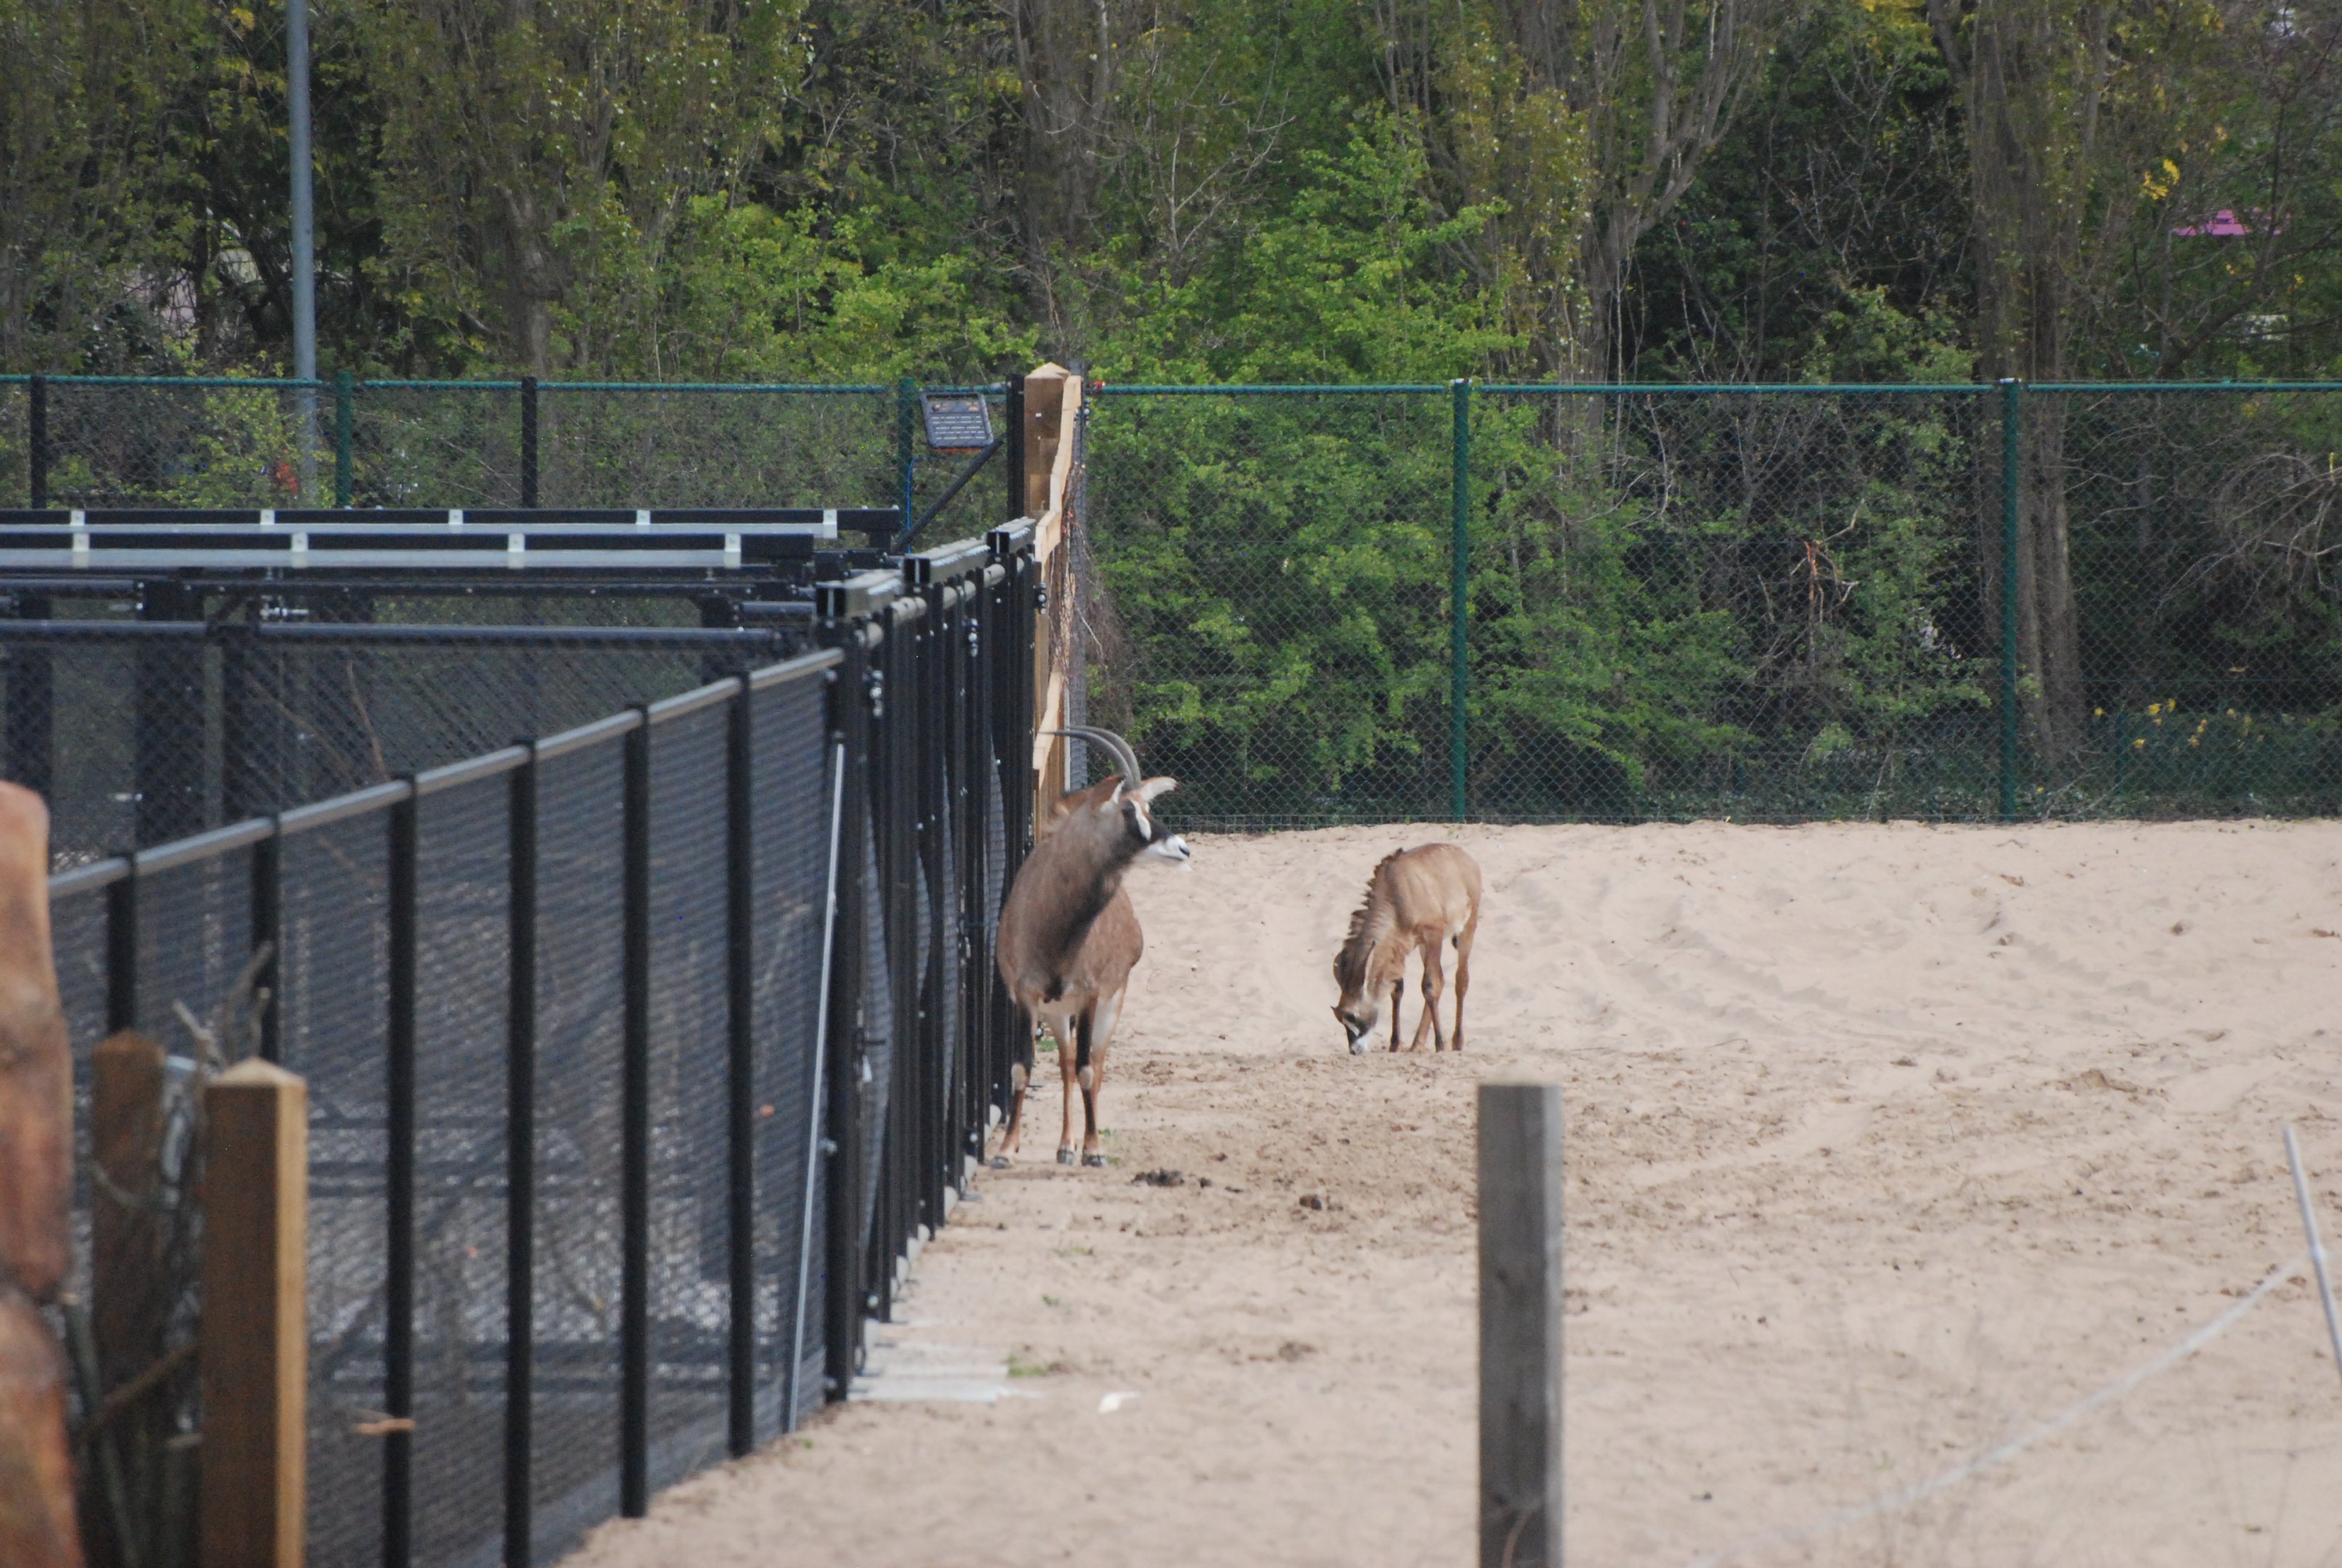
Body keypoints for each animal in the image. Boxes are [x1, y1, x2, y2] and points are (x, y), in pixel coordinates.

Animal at [994, 727, 1190, 1167]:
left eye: (1146, 806)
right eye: (1129, 809)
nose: (1183, 849)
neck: (1054, 924)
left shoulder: (1090, 995)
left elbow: (1088, 1070)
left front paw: (1095, 1149)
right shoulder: (1025, 997)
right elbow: (1022, 1068)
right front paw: (1006, 1149)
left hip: (1110, 1003)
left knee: (1094, 1065)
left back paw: (1084, 1144)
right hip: (1057, 1013)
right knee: (1067, 1063)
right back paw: (1065, 1146)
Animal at [1331, 843, 1481, 1054]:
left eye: (1352, 1016)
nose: (1354, 1050)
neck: (1397, 892)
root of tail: (1465, 857)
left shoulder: (1433, 934)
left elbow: (1429, 986)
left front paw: (1440, 1044)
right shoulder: (1401, 946)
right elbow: (1398, 988)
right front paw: (1395, 1044)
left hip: (1467, 928)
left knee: (1460, 979)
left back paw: (1457, 1041)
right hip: (1424, 947)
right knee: (1442, 980)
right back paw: (1417, 1043)